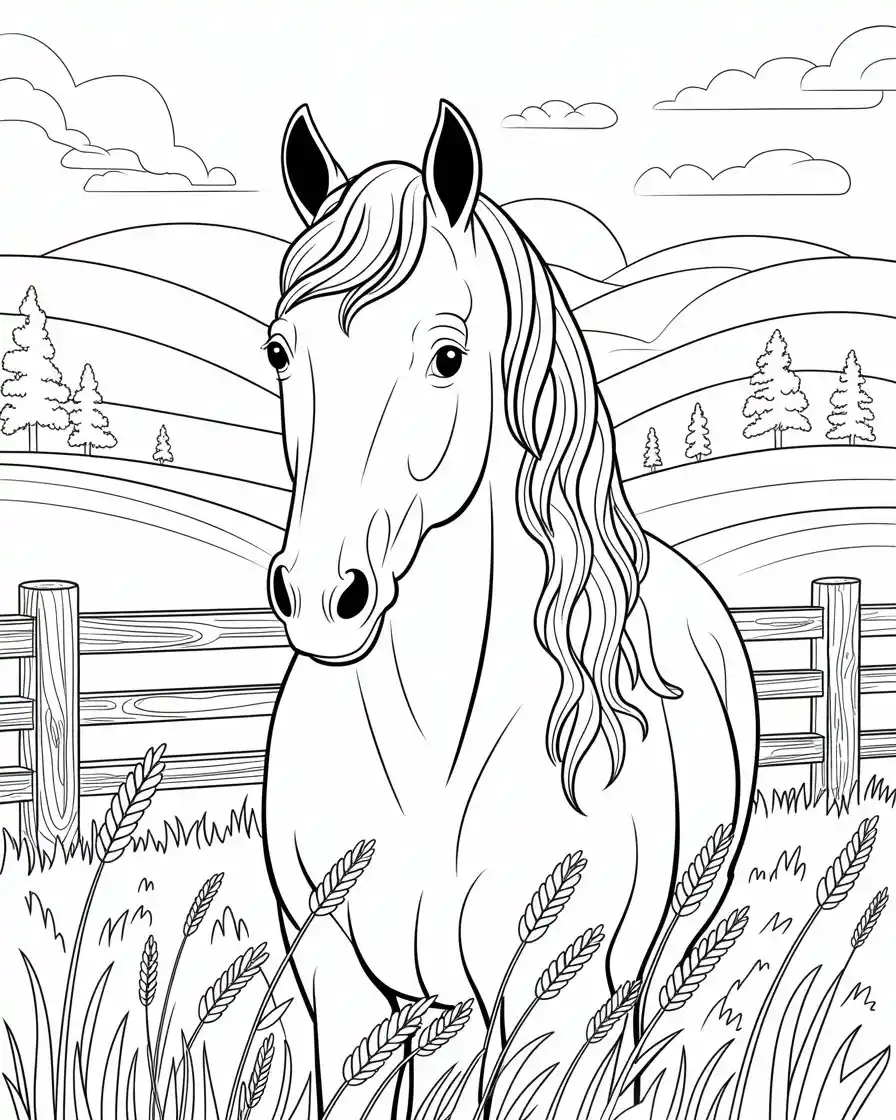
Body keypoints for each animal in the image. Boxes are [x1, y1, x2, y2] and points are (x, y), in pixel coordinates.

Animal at [261, 100, 758, 1120]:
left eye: (447, 355)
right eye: (280, 351)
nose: (324, 597)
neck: (431, 751)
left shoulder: (551, 995)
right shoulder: (346, 985)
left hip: (664, 947)